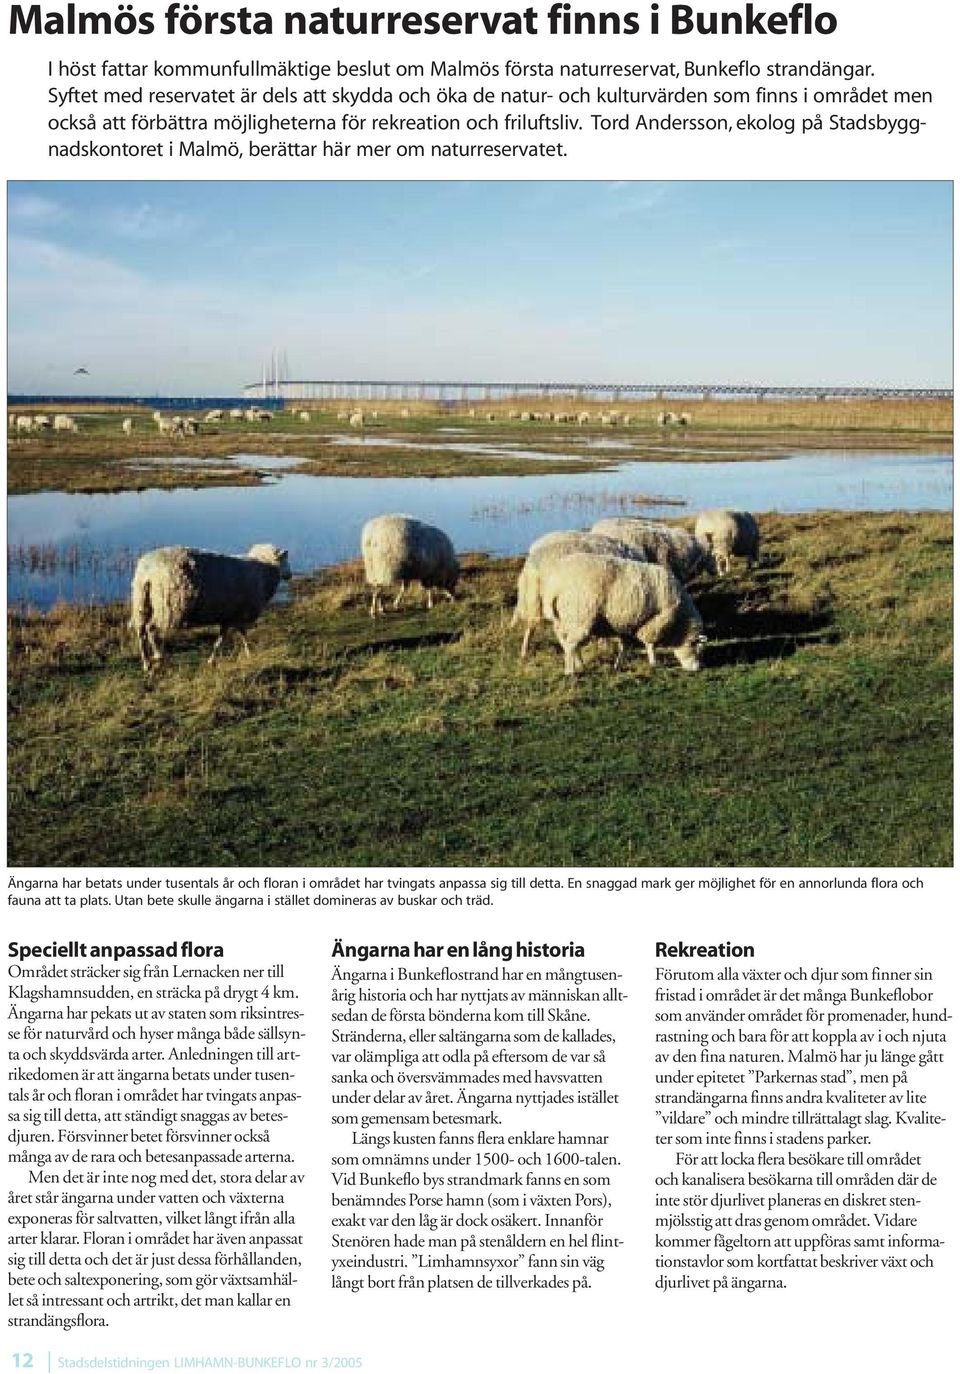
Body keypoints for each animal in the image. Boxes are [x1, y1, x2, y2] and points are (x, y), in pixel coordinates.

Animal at [129, 538, 292, 673]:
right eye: (285, 559)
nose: (290, 575)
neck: (264, 570)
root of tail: (148, 570)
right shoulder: (238, 613)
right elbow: (238, 635)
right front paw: (248, 652)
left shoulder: (229, 615)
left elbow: (224, 638)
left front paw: (213, 660)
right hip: (168, 605)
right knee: (152, 629)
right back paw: (159, 659)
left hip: (142, 601)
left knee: (141, 631)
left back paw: (146, 663)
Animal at [541, 546, 708, 676]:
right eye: (697, 649)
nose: (697, 669)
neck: (681, 619)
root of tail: (555, 585)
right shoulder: (654, 622)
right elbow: (650, 645)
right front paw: (653, 663)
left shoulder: (627, 624)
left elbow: (625, 647)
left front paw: (618, 665)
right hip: (580, 616)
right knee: (571, 645)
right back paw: (570, 671)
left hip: (562, 620)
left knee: (567, 643)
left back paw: (579, 665)